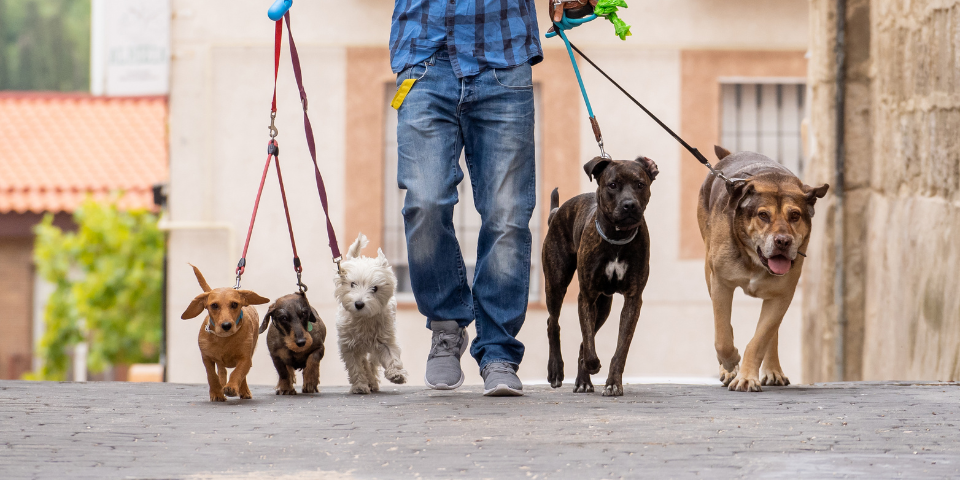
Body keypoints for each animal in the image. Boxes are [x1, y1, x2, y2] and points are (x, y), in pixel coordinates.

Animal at [182, 266, 270, 402]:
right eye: (214, 305)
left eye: (234, 304)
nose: (226, 325)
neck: (224, 339)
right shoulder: (207, 358)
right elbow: (212, 375)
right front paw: (217, 393)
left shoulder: (246, 359)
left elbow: (238, 372)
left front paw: (232, 387)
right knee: (221, 371)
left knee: (241, 375)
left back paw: (243, 390)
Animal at [544, 156, 656, 396]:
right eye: (612, 185)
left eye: (640, 184)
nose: (629, 204)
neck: (617, 237)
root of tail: (557, 212)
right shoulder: (586, 296)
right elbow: (588, 342)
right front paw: (593, 365)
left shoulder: (633, 300)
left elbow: (620, 348)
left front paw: (613, 382)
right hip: (556, 283)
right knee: (553, 323)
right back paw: (556, 370)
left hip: (604, 305)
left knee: (584, 340)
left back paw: (583, 380)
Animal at [696, 148, 824, 392]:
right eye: (763, 215)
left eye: (795, 215)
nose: (783, 241)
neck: (755, 260)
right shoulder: (721, 283)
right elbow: (722, 336)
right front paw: (731, 363)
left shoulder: (783, 295)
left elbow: (760, 339)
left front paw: (747, 377)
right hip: (708, 270)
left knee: (770, 333)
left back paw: (773, 370)